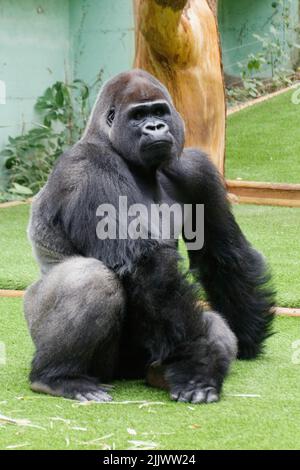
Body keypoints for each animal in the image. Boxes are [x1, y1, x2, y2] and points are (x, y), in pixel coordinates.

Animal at [24, 70, 276, 404]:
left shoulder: (197, 169)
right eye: (138, 116)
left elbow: (221, 252)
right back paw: (58, 377)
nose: (155, 127)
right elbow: (145, 267)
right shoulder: (92, 167)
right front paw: (195, 365)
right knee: (91, 277)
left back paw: (161, 374)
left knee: (210, 324)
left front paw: (248, 334)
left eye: (159, 111)